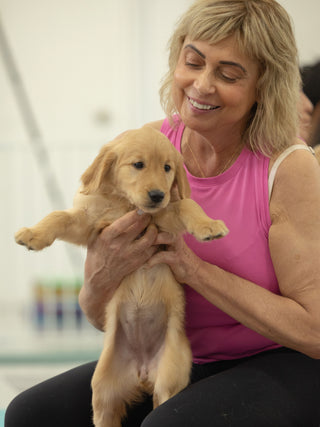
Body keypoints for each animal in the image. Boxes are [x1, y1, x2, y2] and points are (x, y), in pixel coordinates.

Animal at [15, 126, 229, 427]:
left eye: (167, 168)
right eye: (138, 165)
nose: (157, 195)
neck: (125, 204)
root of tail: (142, 371)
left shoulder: (164, 219)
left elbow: (187, 205)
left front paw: (208, 226)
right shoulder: (89, 225)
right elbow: (60, 216)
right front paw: (32, 234)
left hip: (170, 378)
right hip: (103, 393)